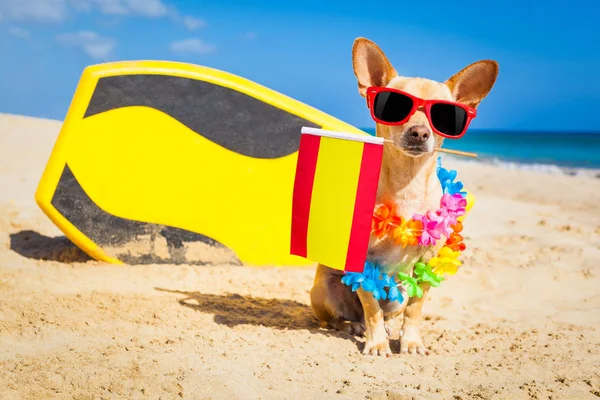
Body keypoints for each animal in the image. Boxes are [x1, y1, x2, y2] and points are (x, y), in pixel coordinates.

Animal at [310, 36, 496, 356]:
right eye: (395, 106)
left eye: (444, 115)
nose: (419, 132)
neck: (407, 183)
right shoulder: (363, 265)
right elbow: (371, 306)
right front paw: (377, 344)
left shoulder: (428, 265)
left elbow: (415, 309)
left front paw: (410, 341)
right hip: (325, 290)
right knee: (342, 318)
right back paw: (354, 326)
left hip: (397, 292)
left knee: (390, 313)